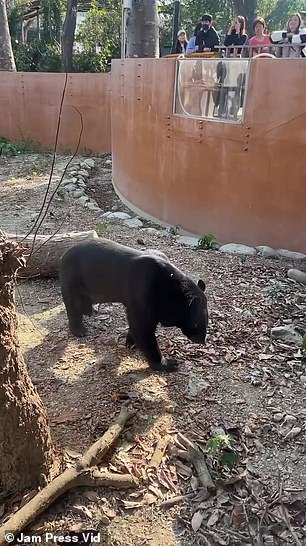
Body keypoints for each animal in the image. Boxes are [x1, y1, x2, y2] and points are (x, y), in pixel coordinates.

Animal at [59, 239, 208, 372]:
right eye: (195, 324)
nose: (201, 340)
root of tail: (63, 255)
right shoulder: (142, 294)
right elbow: (142, 328)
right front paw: (168, 363)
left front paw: (131, 343)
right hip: (73, 278)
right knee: (73, 304)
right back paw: (80, 330)